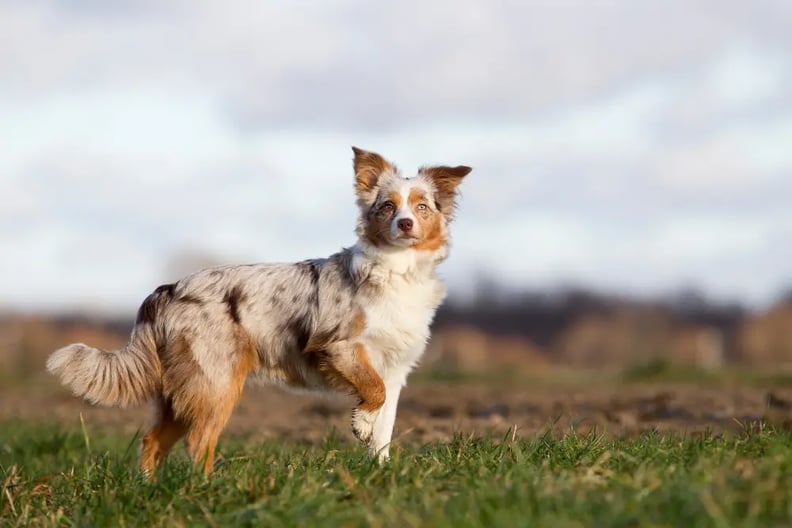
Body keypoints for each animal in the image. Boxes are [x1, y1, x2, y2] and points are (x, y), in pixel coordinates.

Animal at [46, 146, 470, 476]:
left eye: (422, 206)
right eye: (387, 206)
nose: (406, 223)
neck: (397, 270)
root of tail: (168, 289)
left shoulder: (396, 370)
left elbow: (384, 427)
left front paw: (379, 471)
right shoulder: (338, 345)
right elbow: (372, 391)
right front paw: (360, 424)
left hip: (182, 389)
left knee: (153, 440)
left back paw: (150, 489)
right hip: (215, 383)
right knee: (198, 441)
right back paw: (205, 488)